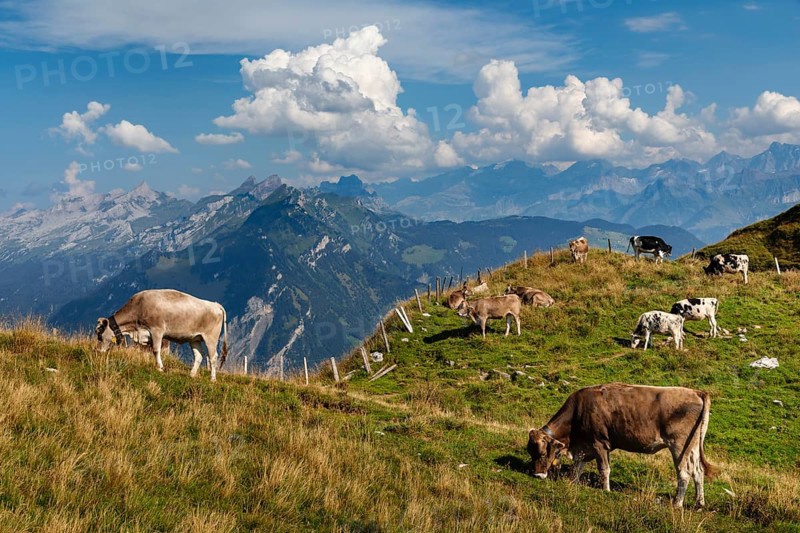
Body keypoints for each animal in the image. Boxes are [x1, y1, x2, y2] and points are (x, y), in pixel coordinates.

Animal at [95, 289, 228, 382]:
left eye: (99, 333)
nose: (99, 351)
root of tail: (215, 304)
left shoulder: (157, 330)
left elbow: (156, 350)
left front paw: (160, 367)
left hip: (211, 337)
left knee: (213, 357)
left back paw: (212, 379)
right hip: (195, 338)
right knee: (199, 355)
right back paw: (192, 374)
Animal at [527, 383, 716, 508]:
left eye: (542, 453)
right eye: (530, 452)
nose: (537, 475)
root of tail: (696, 392)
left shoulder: (599, 444)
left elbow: (604, 469)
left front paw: (606, 491)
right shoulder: (584, 448)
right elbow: (577, 468)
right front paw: (573, 483)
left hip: (678, 445)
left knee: (684, 473)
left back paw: (677, 504)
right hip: (692, 447)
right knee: (698, 471)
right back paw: (699, 503)